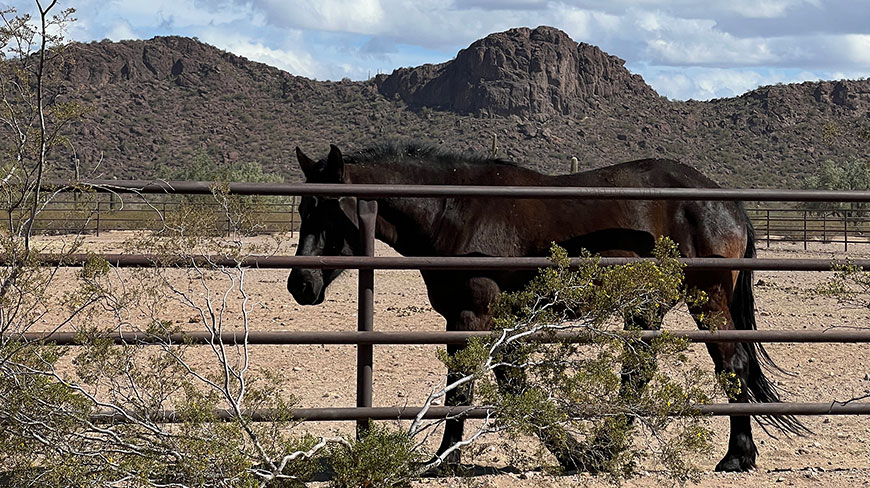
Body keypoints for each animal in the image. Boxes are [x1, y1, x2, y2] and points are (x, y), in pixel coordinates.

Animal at [290, 142, 808, 472]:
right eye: (302, 209)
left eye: (331, 209)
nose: (300, 284)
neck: (456, 209)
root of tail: (726, 203)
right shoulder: (493, 323)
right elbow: (513, 385)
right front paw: (570, 453)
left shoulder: (471, 317)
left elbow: (464, 389)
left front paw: (444, 461)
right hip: (650, 308)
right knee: (647, 373)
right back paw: (606, 451)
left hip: (707, 301)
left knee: (730, 366)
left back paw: (734, 456)